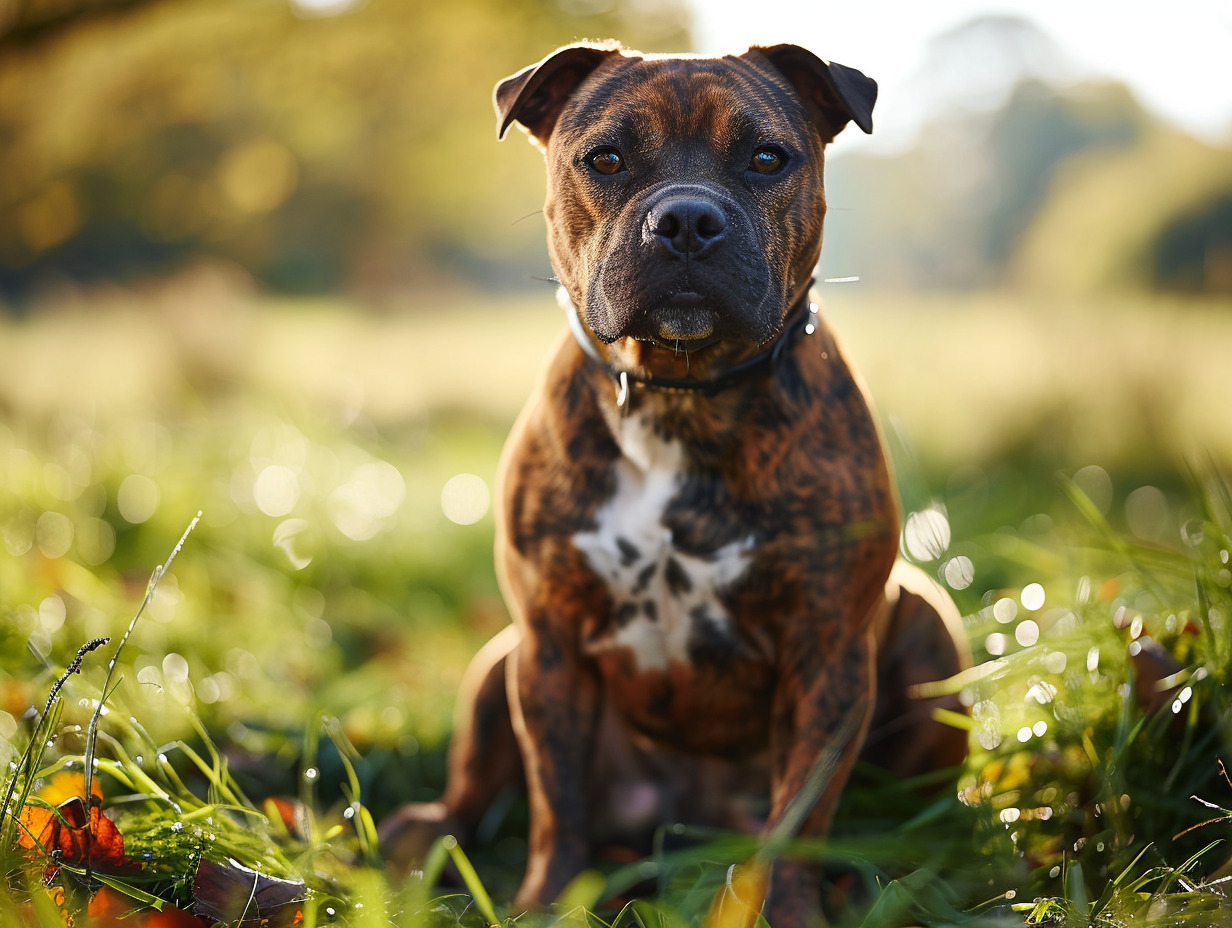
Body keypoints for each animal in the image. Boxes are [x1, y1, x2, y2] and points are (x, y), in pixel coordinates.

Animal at [384, 39, 970, 921]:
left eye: (767, 158)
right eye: (606, 158)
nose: (687, 220)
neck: (677, 396)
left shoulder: (826, 654)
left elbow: (800, 815)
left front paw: (789, 909)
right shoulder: (549, 646)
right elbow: (556, 802)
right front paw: (546, 901)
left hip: (931, 631)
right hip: (498, 664)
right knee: (474, 797)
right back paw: (423, 839)